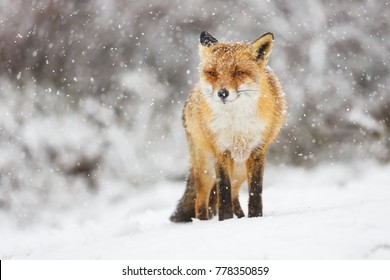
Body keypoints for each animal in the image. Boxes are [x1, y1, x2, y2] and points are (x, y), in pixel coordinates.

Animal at [171, 31, 286, 222]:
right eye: (212, 73)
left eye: (239, 72)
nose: (222, 93)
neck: (237, 126)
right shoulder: (221, 151)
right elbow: (223, 191)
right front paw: (225, 221)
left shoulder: (257, 150)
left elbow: (255, 191)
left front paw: (255, 218)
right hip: (206, 169)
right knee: (201, 202)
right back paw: (204, 222)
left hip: (239, 171)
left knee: (235, 196)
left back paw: (240, 217)